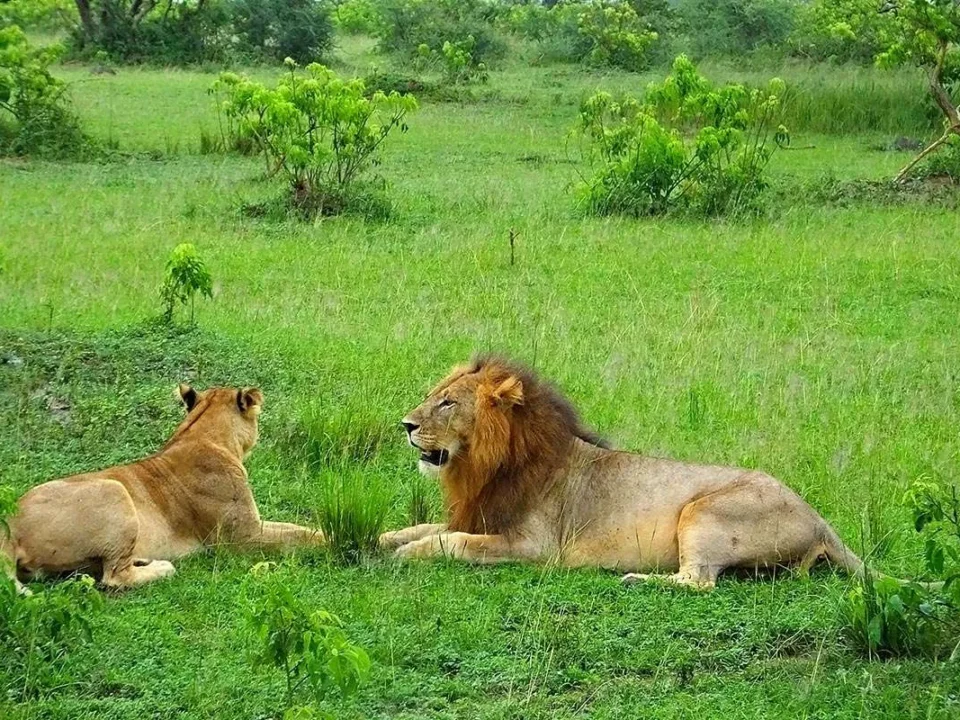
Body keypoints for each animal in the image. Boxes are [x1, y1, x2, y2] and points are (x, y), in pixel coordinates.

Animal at [2, 385, 323, 593]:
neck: (202, 434)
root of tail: (10, 526)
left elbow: (296, 527)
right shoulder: (242, 539)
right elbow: (298, 536)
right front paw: (331, 540)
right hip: (114, 489)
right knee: (114, 576)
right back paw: (163, 567)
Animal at [379, 355, 865, 590]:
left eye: (448, 403)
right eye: (434, 396)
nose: (406, 425)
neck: (485, 466)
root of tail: (819, 517)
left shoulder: (535, 547)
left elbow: (453, 541)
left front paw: (410, 553)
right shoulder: (479, 514)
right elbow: (423, 527)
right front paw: (386, 539)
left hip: (703, 512)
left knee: (700, 581)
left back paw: (634, 579)